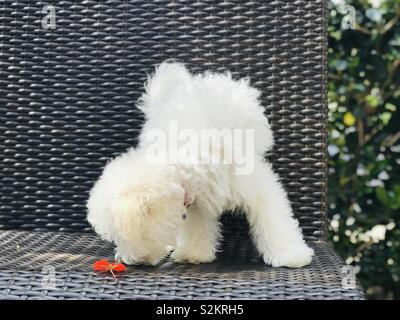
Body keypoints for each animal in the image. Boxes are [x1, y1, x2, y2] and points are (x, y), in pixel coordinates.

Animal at [86, 62, 312, 268]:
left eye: (123, 237)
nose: (126, 260)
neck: (180, 165)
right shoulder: (195, 204)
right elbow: (196, 228)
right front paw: (193, 253)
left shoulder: (257, 188)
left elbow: (275, 222)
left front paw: (290, 255)